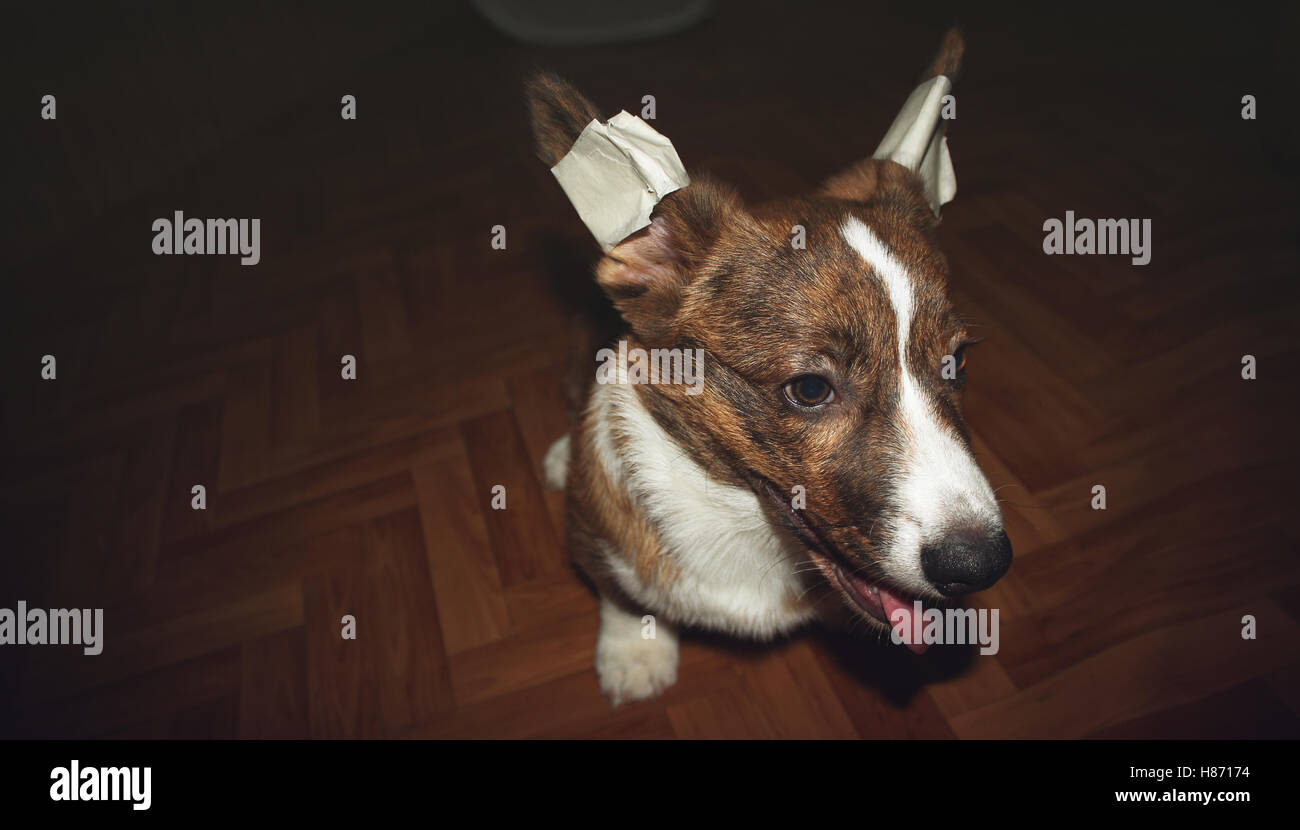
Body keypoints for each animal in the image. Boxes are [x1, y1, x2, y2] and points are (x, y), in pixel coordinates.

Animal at [522, 30, 1008, 707]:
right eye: (810, 387)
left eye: (956, 361)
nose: (982, 566)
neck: (744, 519)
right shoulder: (597, 542)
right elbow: (624, 595)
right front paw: (636, 655)